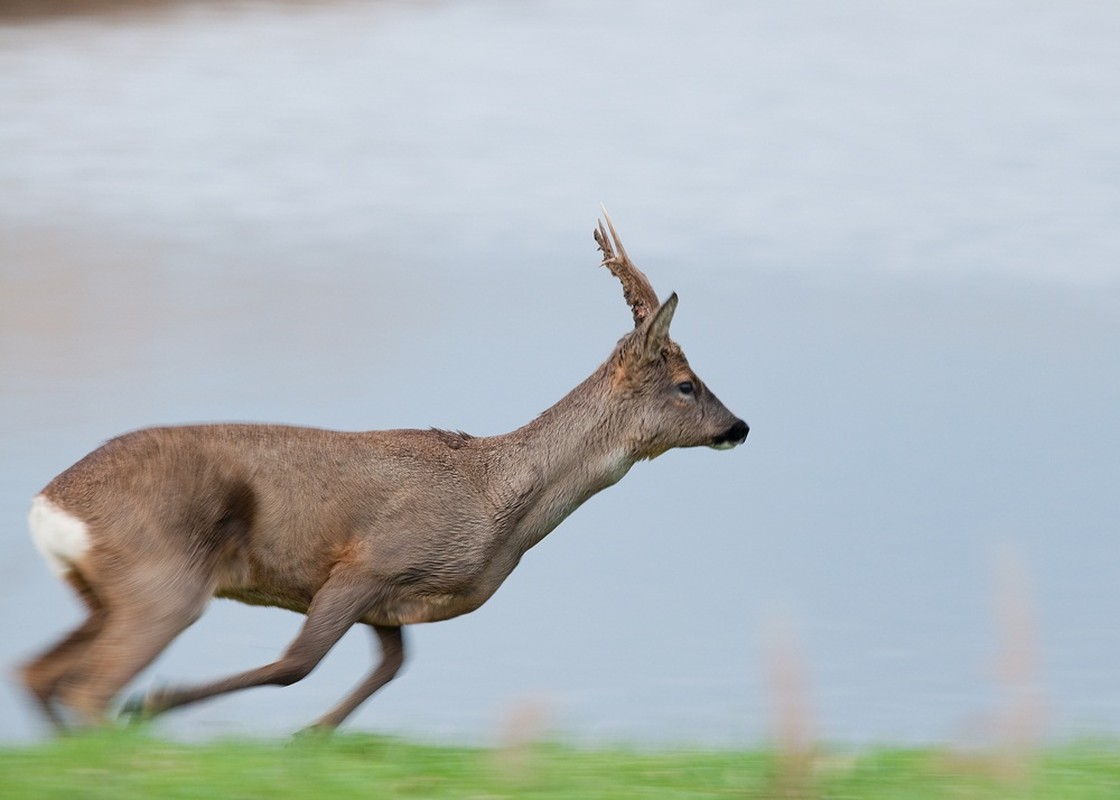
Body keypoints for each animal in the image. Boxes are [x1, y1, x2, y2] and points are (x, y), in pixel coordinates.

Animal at [17, 211, 748, 730]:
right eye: (686, 385)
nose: (738, 426)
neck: (495, 503)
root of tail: (48, 505)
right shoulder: (368, 562)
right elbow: (296, 664)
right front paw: (162, 704)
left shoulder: (388, 602)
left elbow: (389, 670)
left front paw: (308, 738)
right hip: (162, 577)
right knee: (85, 686)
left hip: (103, 589)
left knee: (35, 672)